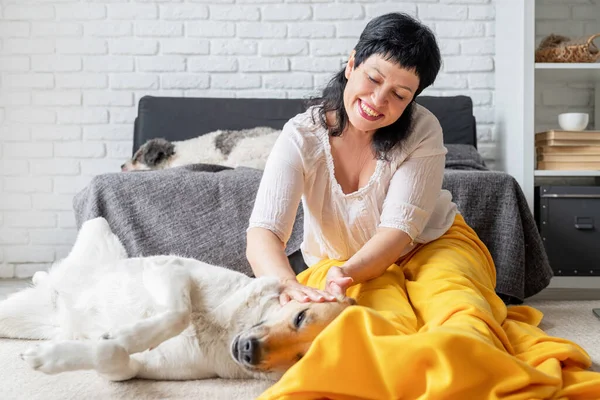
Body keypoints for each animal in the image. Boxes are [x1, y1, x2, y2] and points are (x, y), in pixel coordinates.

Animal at [0, 219, 354, 382]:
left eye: (301, 359)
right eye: (299, 317)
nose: (249, 351)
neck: (227, 331)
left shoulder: (132, 369)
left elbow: (111, 355)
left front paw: (51, 357)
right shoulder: (171, 270)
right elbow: (179, 313)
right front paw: (127, 334)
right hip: (97, 228)